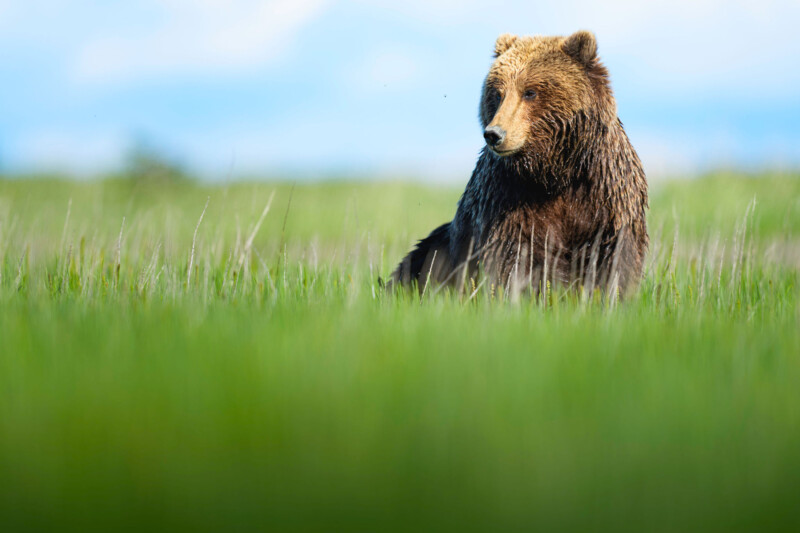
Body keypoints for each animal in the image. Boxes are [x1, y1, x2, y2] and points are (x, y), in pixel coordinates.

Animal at [390, 30, 649, 296]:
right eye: (497, 93)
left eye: (530, 92)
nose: (494, 134)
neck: (555, 171)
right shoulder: (508, 197)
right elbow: (516, 257)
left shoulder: (605, 194)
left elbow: (612, 259)